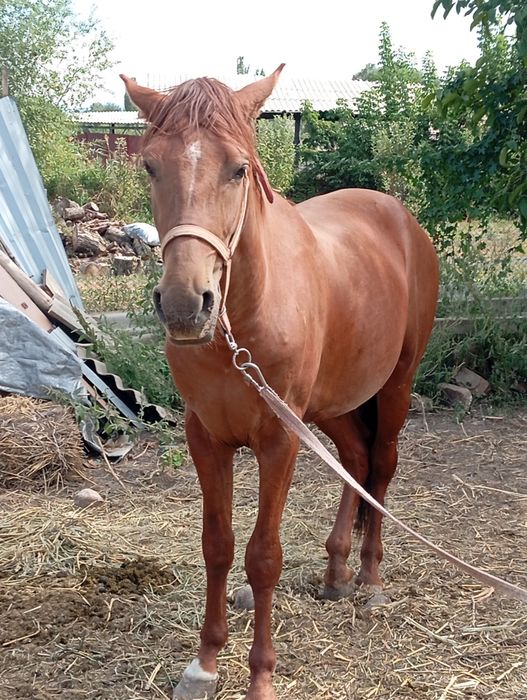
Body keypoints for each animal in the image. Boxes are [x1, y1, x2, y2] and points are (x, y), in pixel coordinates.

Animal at [121, 65, 439, 700]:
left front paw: (261, 676)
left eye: (239, 168)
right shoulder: (207, 438)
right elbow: (217, 546)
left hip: (394, 386)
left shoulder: (278, 442)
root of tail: (403, 222)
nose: (185, 305)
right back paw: (337, 571)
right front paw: (204, 663)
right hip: (332, 404)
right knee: (356, 460)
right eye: (150, 166)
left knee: (381, 468)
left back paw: (369, 581)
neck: (242, 321)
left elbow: (263, 556)